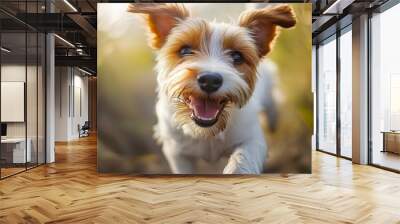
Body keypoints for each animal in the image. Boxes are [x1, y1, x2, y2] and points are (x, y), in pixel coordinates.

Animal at [129, 3, 296, 175]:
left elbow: (241, 162)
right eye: (185, 50)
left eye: (237, 56)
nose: (210, 80)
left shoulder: (252, 140)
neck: (207, 131)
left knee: (272, 104)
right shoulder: (178, 153)